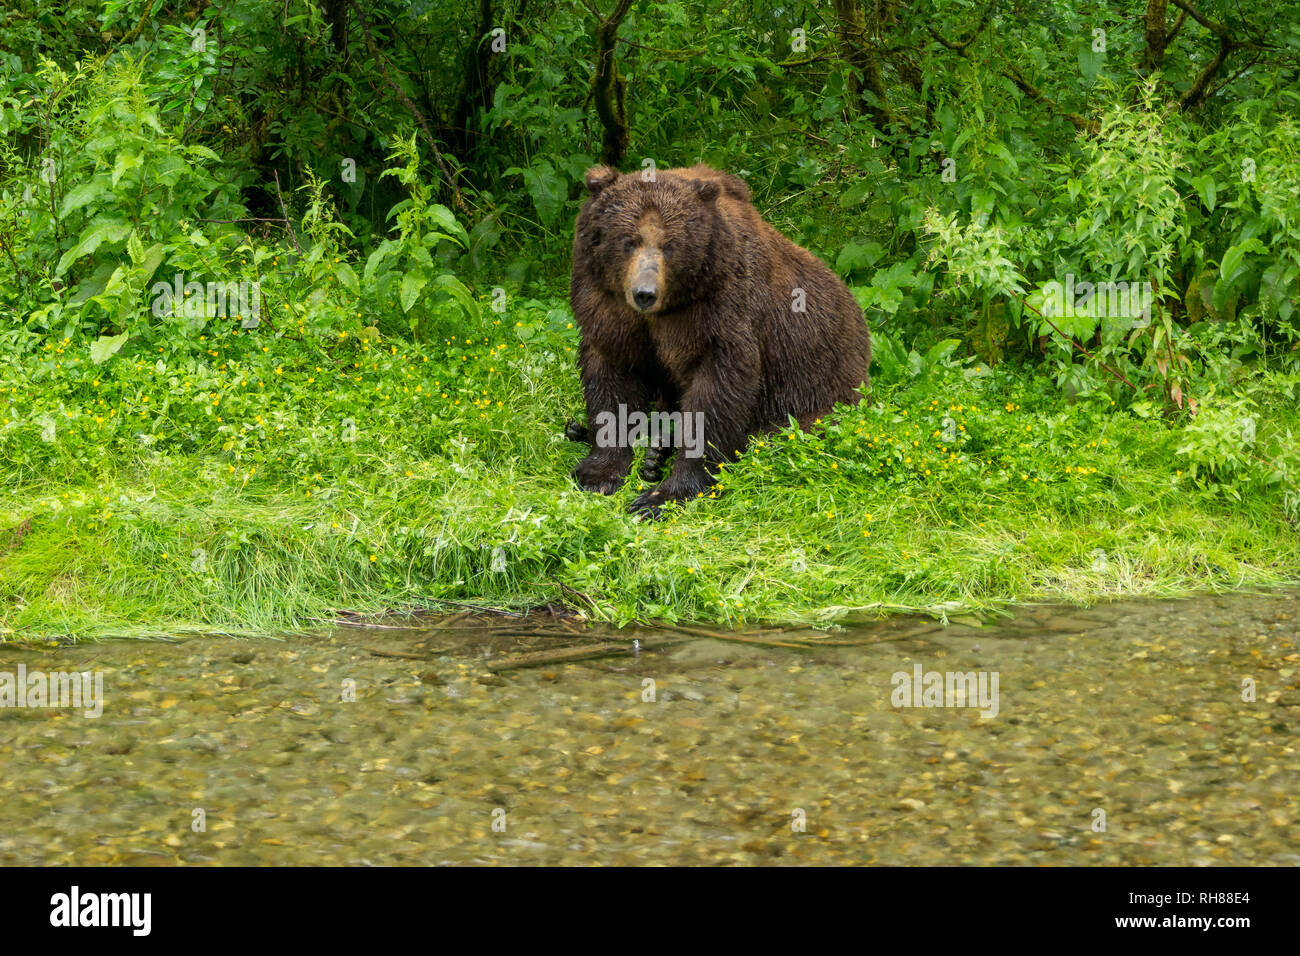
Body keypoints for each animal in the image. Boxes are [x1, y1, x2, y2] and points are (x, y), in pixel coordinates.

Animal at [572, 167, 868, 520]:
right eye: (629, 241)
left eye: (670, 245)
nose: (645, 293)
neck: (665, 311)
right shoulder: (611, 312)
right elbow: (612, 380)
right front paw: (597, 474)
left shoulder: (717, 313)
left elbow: (716, 394)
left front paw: (660, 497)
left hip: (821, 397)